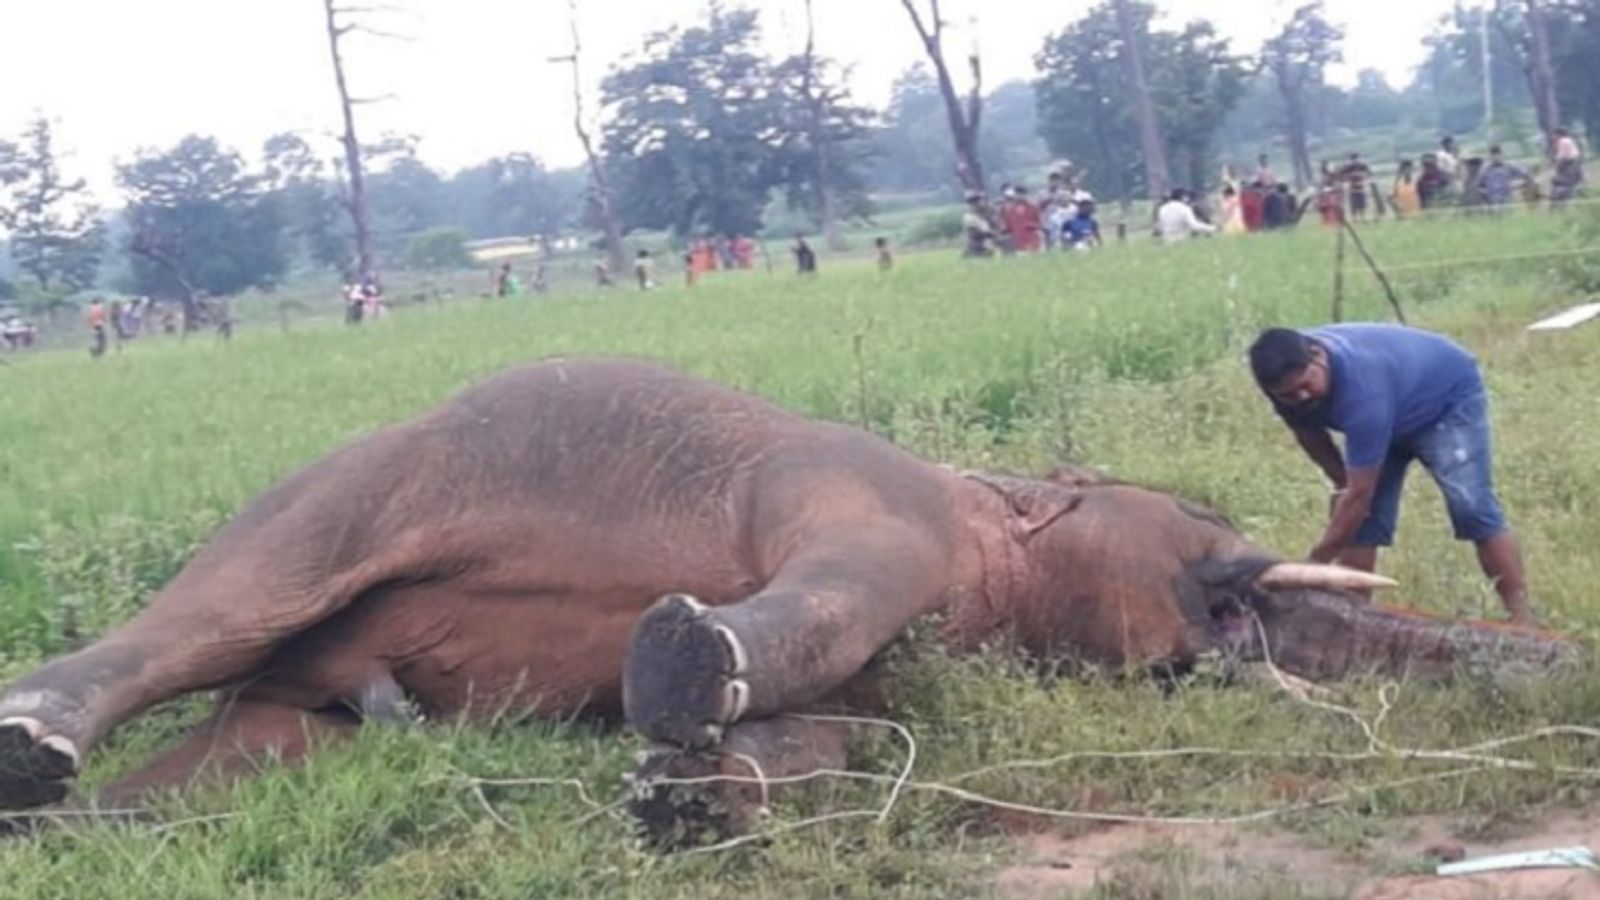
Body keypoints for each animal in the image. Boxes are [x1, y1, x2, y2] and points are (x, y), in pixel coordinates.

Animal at [0, 353, 1574, 832]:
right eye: (1203, 525)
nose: (1557, 661)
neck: (993, 507)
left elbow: (866, 737)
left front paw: (684, 795)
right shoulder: (859, 492)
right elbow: (835, 585)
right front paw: (681, 672)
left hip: (308, 699)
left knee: (255, 750)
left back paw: (89, 824)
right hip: (349, 490)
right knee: (224, 605)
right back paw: (33, 748)